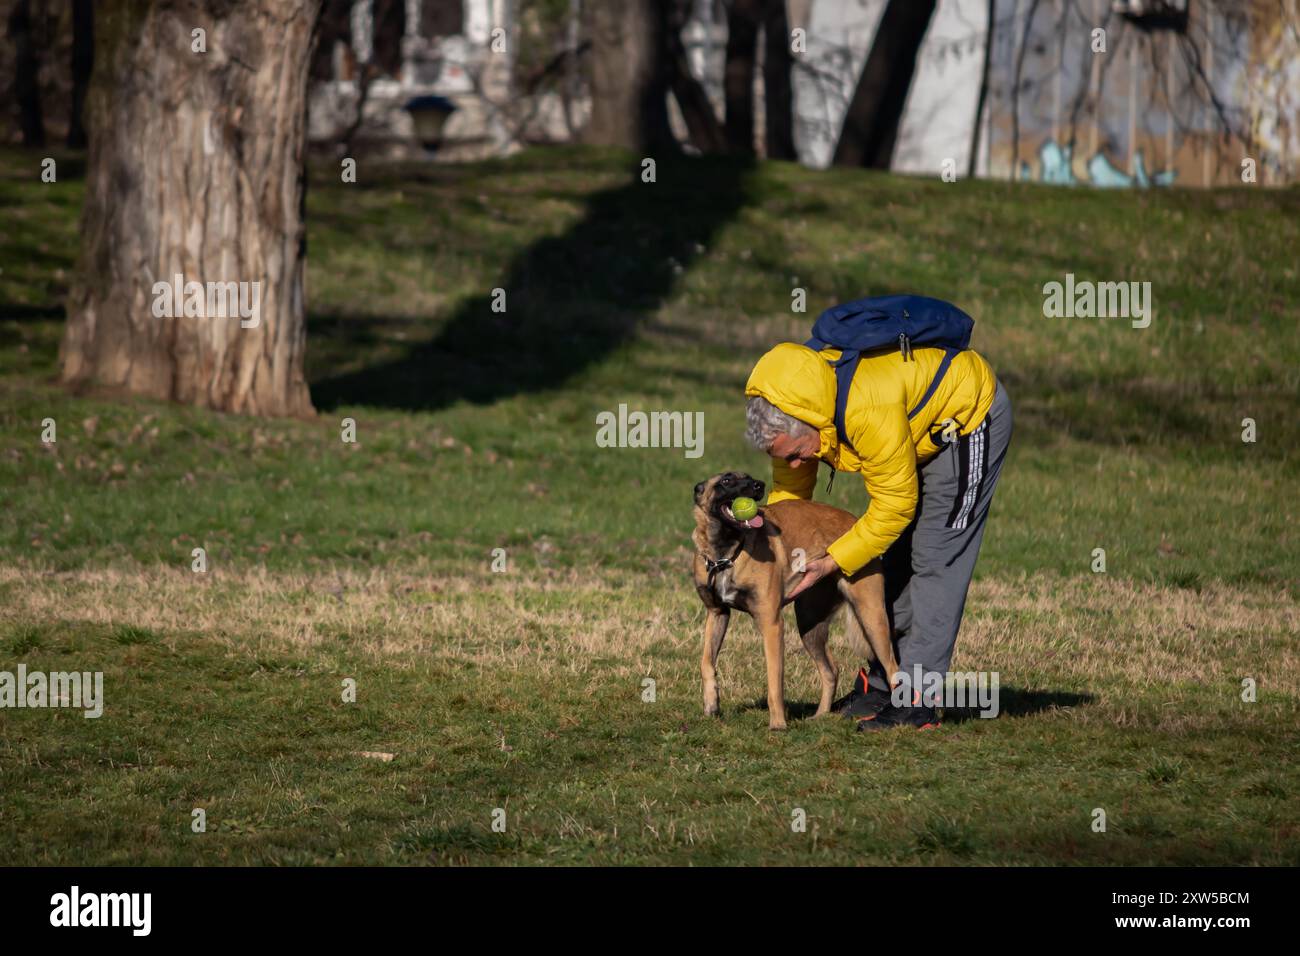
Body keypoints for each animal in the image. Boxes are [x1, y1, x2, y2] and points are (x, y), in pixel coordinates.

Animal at [696, 470, 899, 733]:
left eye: (749, 478)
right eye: (726, 481)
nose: (759, 485)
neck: (726, 554)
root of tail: (855, 523)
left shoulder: (772, 625)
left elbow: (774, 681)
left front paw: (778, 724)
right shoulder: (717, 613)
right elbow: (706, 662)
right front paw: (712, 705)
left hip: (872, 618)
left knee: (893, 669)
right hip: (809, 624)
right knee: (831, 670)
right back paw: (820, 716)